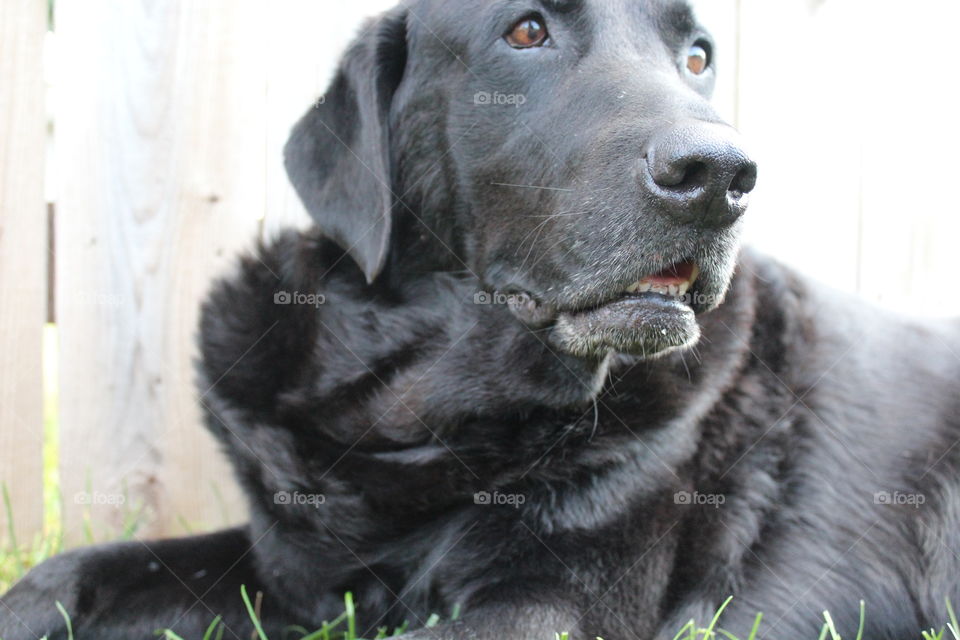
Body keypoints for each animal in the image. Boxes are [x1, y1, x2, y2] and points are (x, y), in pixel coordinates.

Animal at [1, 1, 960, 640]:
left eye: (696, 56)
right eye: (527, 32)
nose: (722, 174)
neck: (419, 418)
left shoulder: (545, 601)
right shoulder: (293, 570)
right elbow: (77, 572)